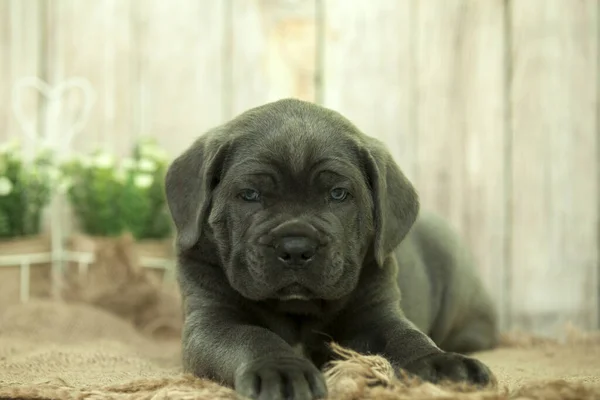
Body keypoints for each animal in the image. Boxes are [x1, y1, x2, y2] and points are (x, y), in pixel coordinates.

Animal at [164, 97, 496, 400]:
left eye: (338, 194)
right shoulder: (210, 321)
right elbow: (252, 336)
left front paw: (440, 362)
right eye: (249, 195)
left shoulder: (376, 313)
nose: (296, 248)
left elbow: (405, 336)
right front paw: (282, 369)